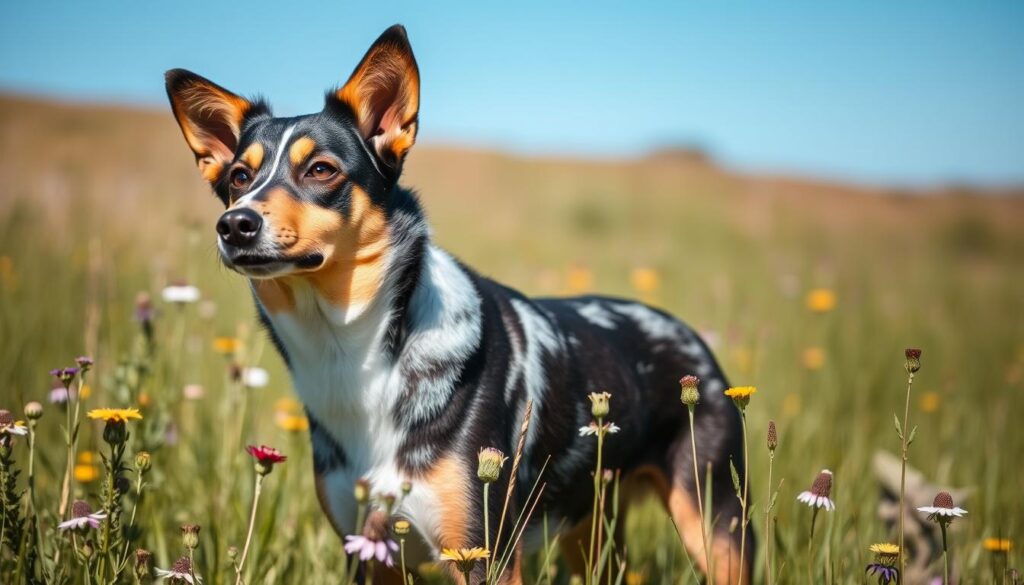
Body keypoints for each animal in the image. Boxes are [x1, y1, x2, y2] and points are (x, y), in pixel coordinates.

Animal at [161, 24, 753, 585]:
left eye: (322, 170)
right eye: (239, 177)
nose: (235, 224)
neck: (354, 354)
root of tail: (688, 336)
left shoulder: (480, 550)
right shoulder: (367, 550)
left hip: (714, 518)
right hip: (590, 529)